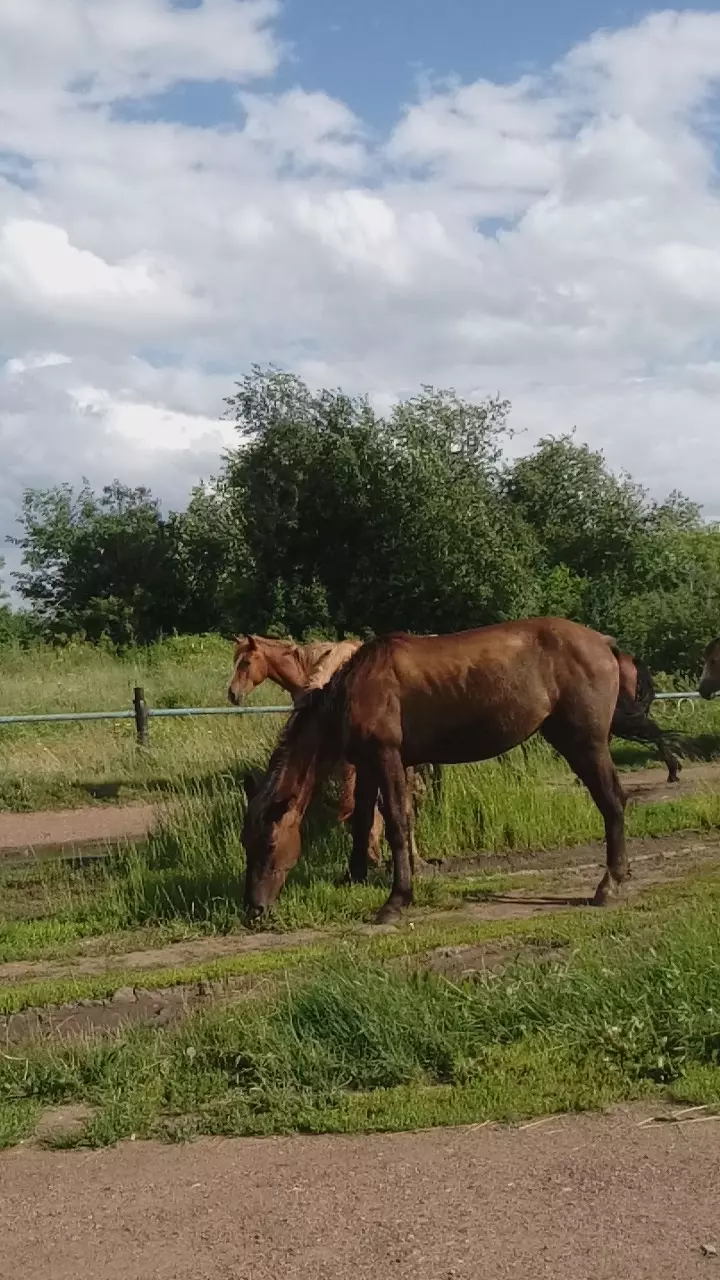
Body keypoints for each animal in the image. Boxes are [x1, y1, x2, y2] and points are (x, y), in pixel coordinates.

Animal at [243, 616, 625, 926]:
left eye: (270, 842)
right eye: (246, 842)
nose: (255, 910)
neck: (354, 689)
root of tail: (602, 641)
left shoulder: (388, 759)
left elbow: (397, 824)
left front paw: (396, 901)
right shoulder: (366, 764)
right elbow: (363, 821)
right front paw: (354, 877)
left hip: (585, 743)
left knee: (611, 802)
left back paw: (609, 885)